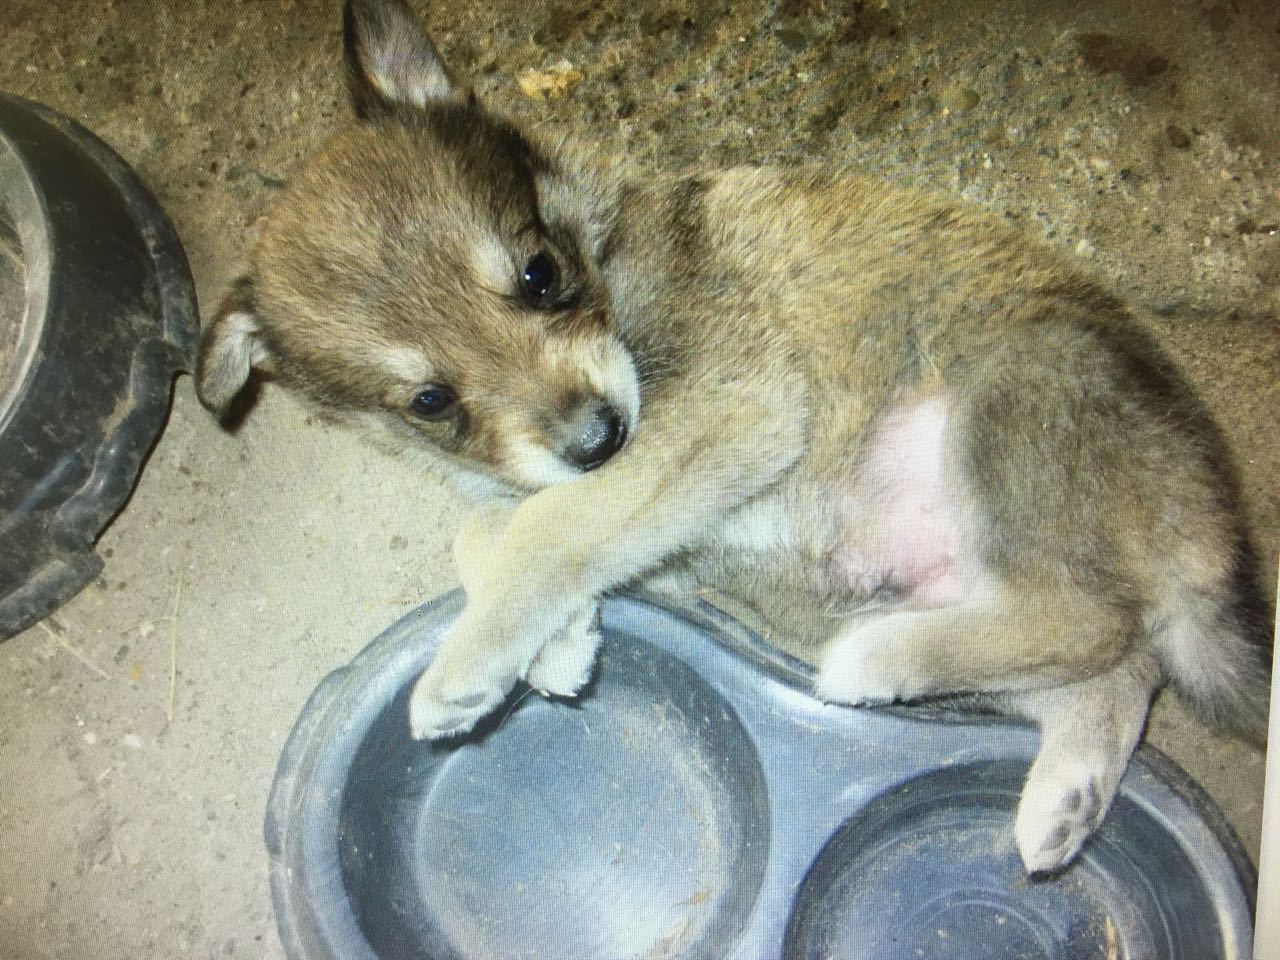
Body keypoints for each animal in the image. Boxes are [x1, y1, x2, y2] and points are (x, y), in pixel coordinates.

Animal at [197, 0, 1272, 876]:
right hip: (888, 599)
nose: (598, 436)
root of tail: (1204, 525)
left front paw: (471, 669)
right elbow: (502, 529)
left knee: (1096, 620)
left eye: (539, 276)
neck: (605, 254)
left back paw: (876, 666)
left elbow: (546, 528)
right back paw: (1061, 797)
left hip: (1008, 398)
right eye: (428, 400)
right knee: (1113, 670)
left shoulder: (727, 409)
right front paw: (557, 644)